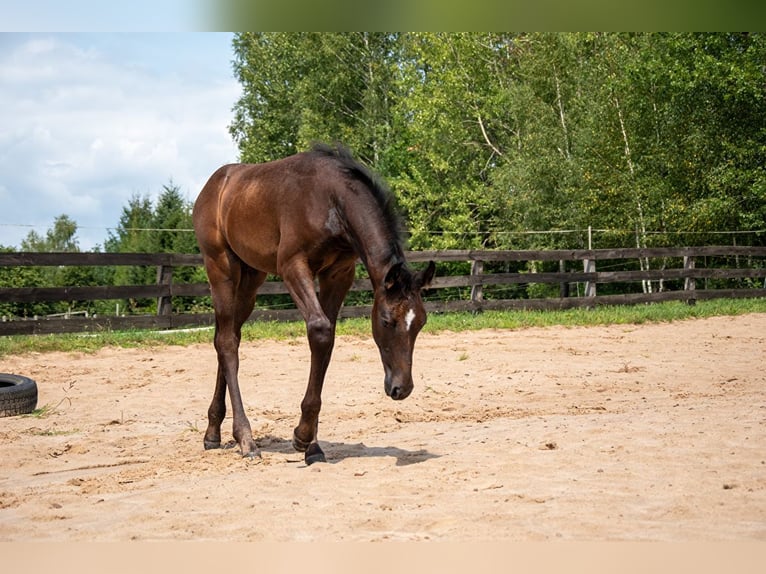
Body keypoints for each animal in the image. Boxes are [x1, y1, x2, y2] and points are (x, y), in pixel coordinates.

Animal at [192, 144, 436, 468]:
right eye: (386, 321)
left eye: (420, 323)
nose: (402, 388)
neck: (332, 200)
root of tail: (213, 184)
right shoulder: (292, 264)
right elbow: (320, 331)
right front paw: (302, 435)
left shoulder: (338, 273)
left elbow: (327, 339)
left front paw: (313, 446)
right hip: (221, 267)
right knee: (227, 343)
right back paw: (246, 439)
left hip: (251, 277)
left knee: (227, 336)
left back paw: (213, 432)